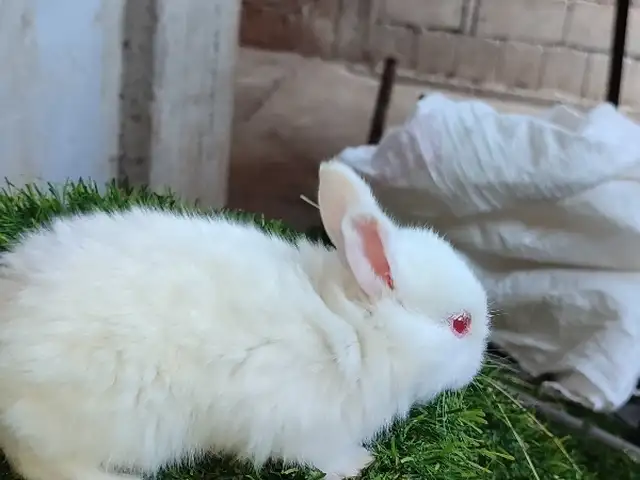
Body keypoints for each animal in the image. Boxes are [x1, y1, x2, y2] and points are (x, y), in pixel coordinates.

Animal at [0, 159, 490, 480]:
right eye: (460, 324)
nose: (479, 365)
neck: (357, 326)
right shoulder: (305, 426)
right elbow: (322, 456)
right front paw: (359, 464)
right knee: (43, 462)